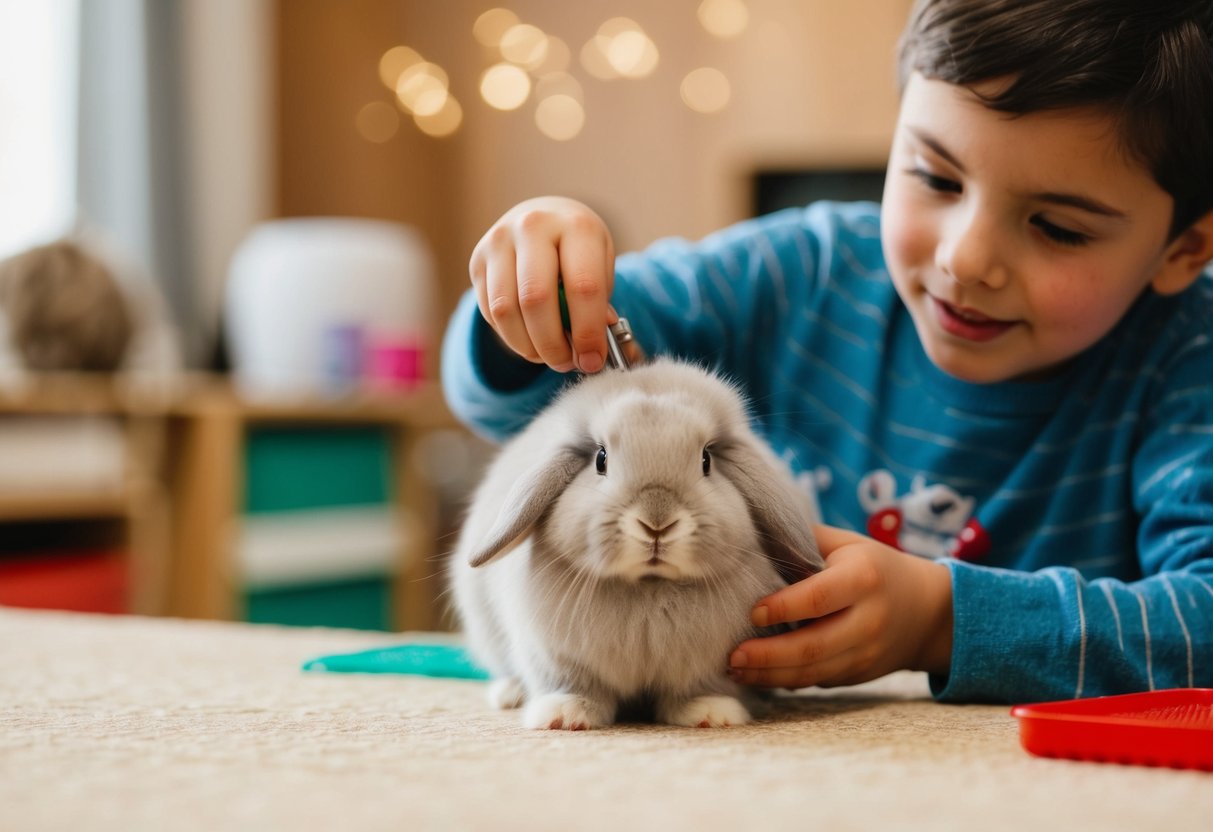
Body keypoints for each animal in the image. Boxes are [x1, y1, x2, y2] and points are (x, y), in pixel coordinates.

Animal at [451, 358, 829, 727]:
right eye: (601, 459)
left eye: (706, 460)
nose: (657, 523)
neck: (650, 587)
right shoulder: (555, 655)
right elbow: (572, 685)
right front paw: (563, 716)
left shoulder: (715, 661)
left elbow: (702, 688)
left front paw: (711, 714)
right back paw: (510, 694)